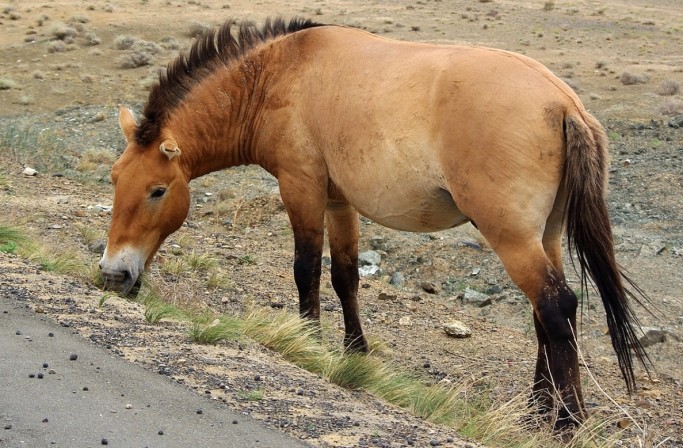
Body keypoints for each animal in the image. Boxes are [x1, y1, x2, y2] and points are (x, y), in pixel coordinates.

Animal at [100, 17, 652, 430]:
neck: (277, 74)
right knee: (548, 314)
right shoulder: (338, 202)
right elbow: (345, 276)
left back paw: (567, 421)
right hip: (545, 236)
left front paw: (307, 343)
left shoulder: (301, 190)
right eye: (114, 179)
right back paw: (538, 409)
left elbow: (306, 270)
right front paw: (355, 354)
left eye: (157, 190)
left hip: (513, 238)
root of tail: (563, 101)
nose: (112, 274)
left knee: (556, 307)